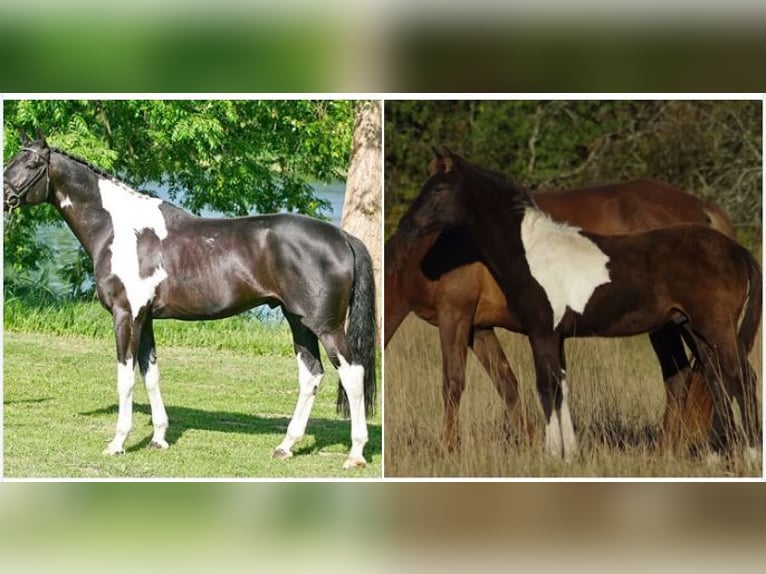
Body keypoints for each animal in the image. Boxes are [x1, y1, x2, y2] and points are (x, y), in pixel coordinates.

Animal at [4, 138, 376, 472]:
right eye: (11, 159)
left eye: (32, 164)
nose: (4, 197)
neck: (118, 229)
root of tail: (342, 237)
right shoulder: (146, 319)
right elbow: (150, 374)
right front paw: (158, 439)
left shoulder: (126, 316)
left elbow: (126, 378)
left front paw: (118, 442)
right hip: (298, 321)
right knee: (311, 375)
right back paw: (286, 446)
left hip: (325, 326)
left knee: (352, 373)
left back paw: (356, 453)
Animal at [392, 153, 760, 460]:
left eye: (439, 189)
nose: (405, 227)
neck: (532, 252)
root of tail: (737, 250)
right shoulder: (547, 335)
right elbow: (556, 386)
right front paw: (567, 452)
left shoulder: (534, 330)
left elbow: (545, 386)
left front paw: (552, 453)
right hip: (694, 328)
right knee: (715, 378)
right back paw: (715, 455)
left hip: (712, 327)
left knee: (739, 377)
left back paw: (746, 453)